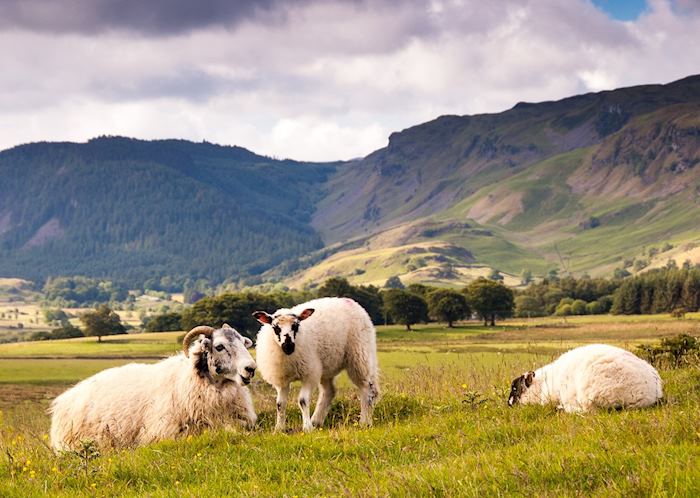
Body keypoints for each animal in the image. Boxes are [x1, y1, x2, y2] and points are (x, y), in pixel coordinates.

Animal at [253, 296, 380, 432]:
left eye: (296, 326)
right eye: (276, 327)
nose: (288, 346)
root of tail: (349, 301)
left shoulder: (309, 374)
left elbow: (303, 401)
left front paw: (307, 427)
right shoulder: (282, 380)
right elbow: (280, 404)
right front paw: (279, 428)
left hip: (360, 355)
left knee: (367, 388)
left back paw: (365, 421)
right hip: (326, 367)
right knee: (329, 391)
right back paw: (317, 421)